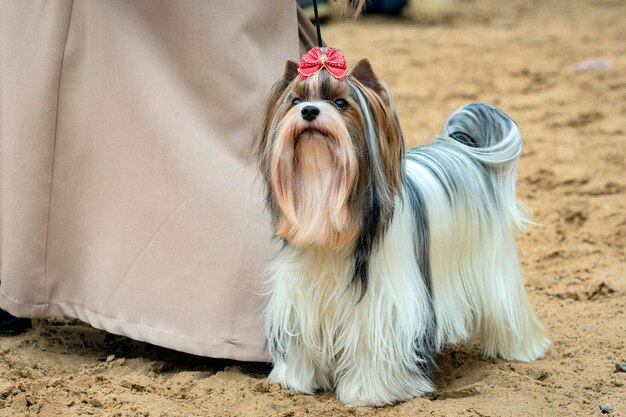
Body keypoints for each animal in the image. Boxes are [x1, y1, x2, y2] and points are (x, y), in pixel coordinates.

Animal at [252, 46, 544, 406]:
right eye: (295, 100)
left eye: (340, 103)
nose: (308, 110)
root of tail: (460, 148)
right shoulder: (302, 293)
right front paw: (295, 380)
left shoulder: (382, 305)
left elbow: (371, 345)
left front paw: (368, 392)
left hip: (493, 265)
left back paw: (523, 348)